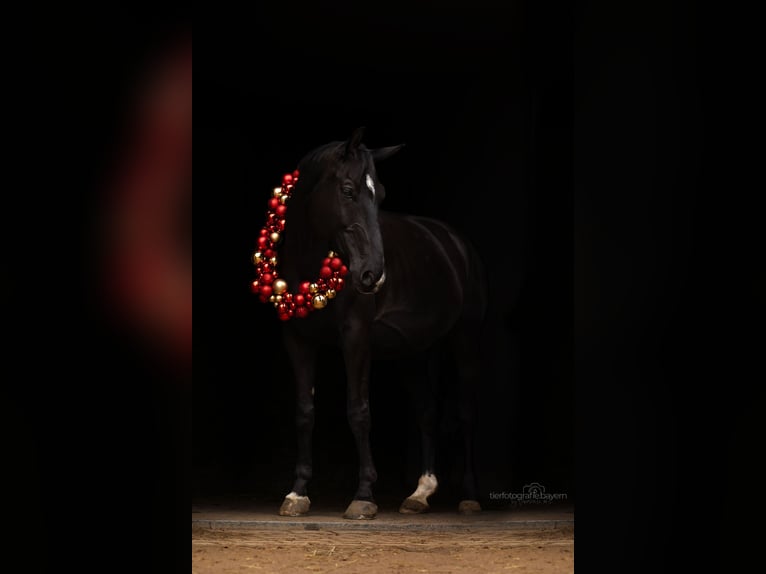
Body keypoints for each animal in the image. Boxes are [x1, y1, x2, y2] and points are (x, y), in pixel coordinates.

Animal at [251, 127, 487, 519]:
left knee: (466, 412)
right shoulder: (297, 340)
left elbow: (358, 410)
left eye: (382, 195)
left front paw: (363, 495)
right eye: (347, 190)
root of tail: (455, 242)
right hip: (415, 351)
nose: (373, 274)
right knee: (427, 411)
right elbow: (304, 412)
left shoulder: (356, 337)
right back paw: (420, 493)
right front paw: (297, 492)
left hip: (465, 338)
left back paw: (469, 496)